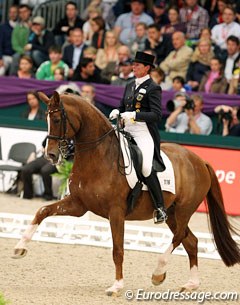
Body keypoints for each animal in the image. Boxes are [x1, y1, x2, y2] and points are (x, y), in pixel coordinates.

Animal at [13, 91, 240, 294]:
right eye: (46, 119)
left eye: (57, 119)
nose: (50, 155)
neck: (99, 156)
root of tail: (200, 160)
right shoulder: (78, 205)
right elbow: (42, 211)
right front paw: (19, 248)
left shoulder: (116, 212)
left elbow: (118, 250)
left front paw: (117, 286)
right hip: (172, 213)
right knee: (191, 242)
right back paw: (191, 284)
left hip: (184, 210)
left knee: (179, 237)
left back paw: (158, 273)